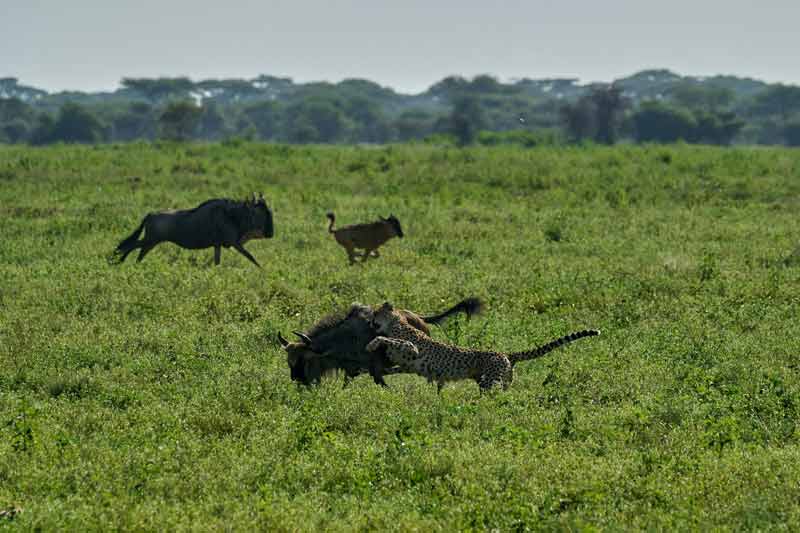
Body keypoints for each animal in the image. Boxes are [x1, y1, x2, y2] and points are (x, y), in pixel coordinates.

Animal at [366, 302, 596, 392]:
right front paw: (383, 372)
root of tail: (505, 354)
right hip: (499, 382)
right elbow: (395, 368)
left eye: (376, 312)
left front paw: (372, 343)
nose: (370, 320)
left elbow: (388, 340)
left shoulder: (411, 347)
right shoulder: (409, 365)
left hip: (489, 382)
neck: (397, 323)